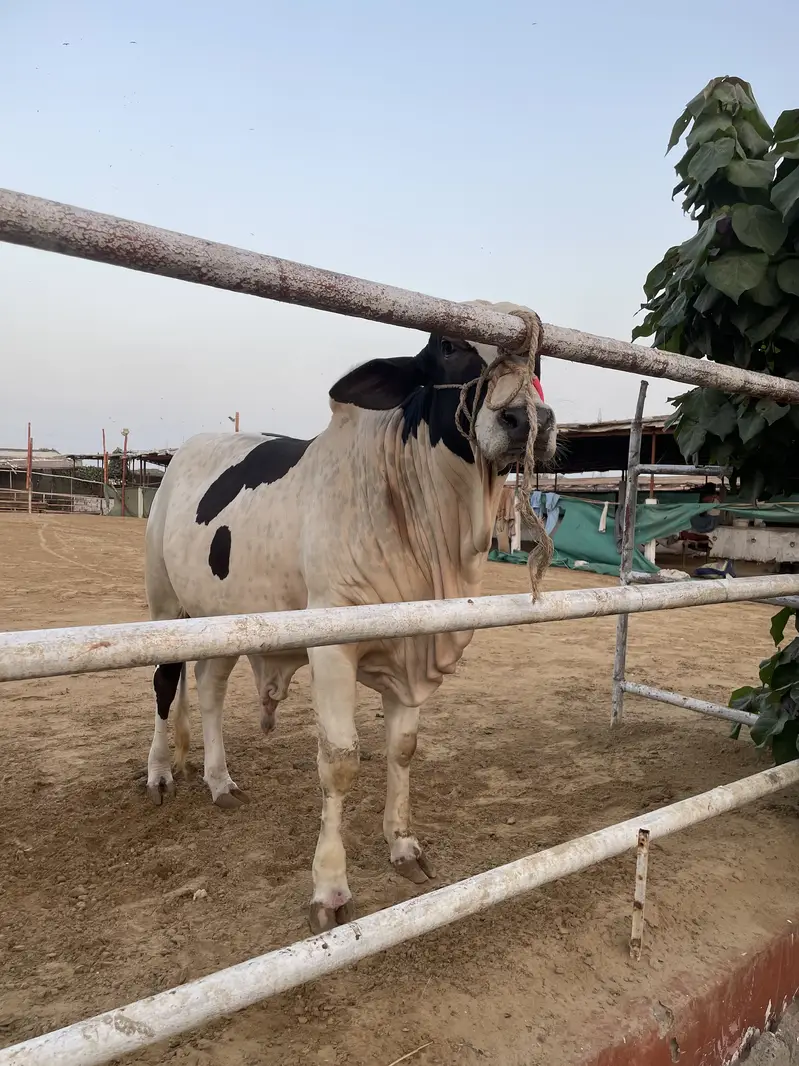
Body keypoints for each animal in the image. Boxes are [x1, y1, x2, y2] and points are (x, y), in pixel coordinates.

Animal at [144, 301, 557, 933]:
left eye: (539, 359)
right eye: (450, 345)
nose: (523, 419)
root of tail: (184, 453)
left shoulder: (414, 648)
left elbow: (403, 748)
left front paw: (403, 846)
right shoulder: (333, 645)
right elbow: (340, 760)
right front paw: (330, 888)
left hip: (227, 620)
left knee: (209, 688)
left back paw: (218, 780)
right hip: (166, 604)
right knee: (166, 683)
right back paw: (161, 772)